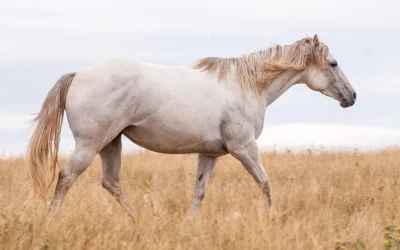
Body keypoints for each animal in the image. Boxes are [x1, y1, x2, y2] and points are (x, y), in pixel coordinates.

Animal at [25, 34, 356, 219]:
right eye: (334, 63)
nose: (352, 96)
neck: (247, 86)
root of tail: (77, 75)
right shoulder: (244, 148)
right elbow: (265, 183)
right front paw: (273, 219)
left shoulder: (210, 154)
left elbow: (199, 191)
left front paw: (189, 223)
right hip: (91, 144)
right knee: (66, 177)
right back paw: (52, 221)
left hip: (111, 143)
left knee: (112, 182)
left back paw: (139, 221)